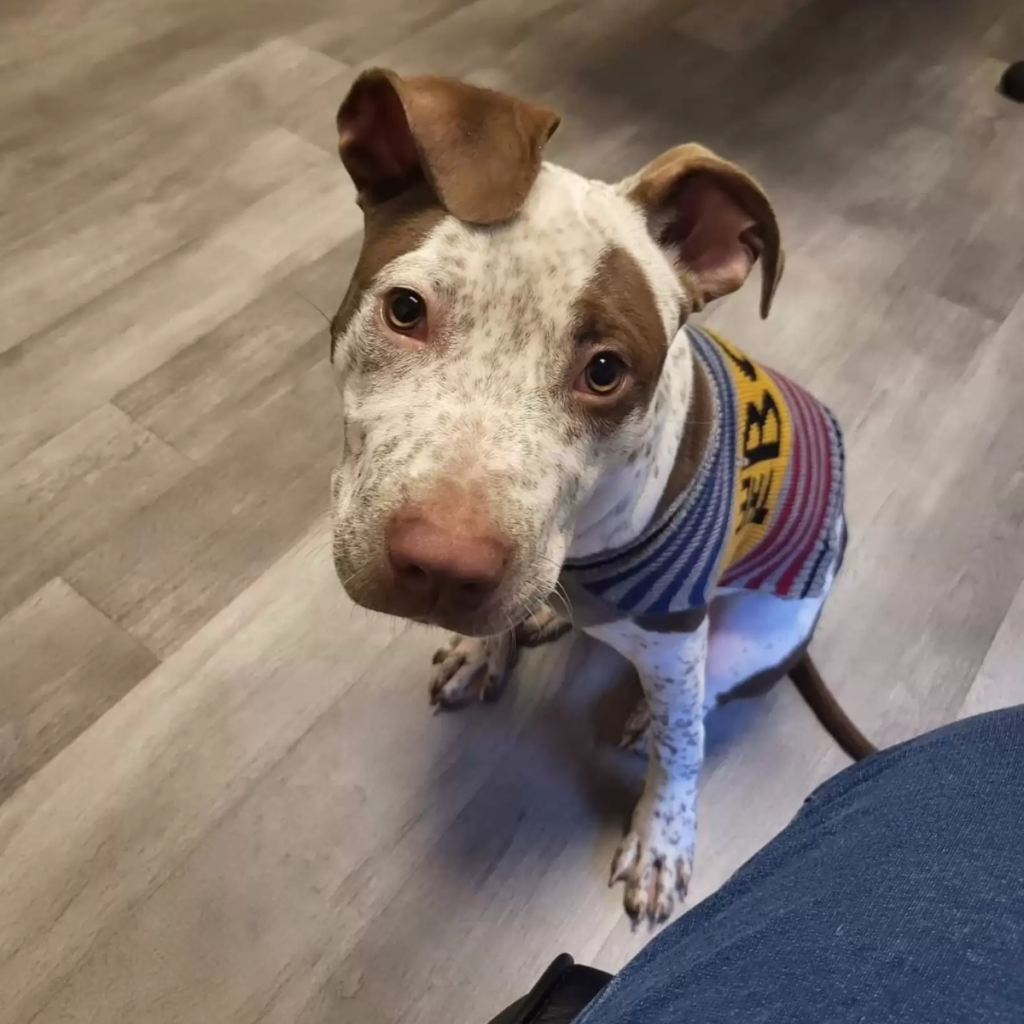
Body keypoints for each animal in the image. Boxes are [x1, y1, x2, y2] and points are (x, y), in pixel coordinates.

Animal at [327, 68, 872, 925]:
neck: (585, 546)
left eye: (607, 370)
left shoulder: (677, 637)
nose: (443, 568)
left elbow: (683, 754)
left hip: (750, 641)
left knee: (701, 706)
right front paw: (487, 650)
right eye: (405, 309)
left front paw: (662, 841)